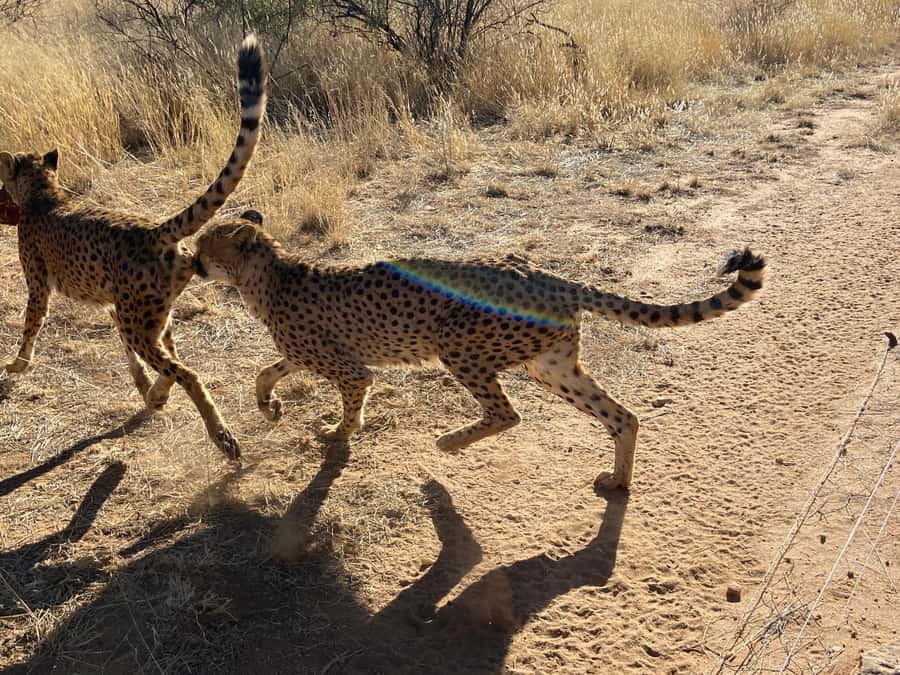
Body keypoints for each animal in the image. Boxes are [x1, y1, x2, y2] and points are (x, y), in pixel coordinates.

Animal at [0, 35, 267, 462]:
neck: (45, 193)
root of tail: (153, 230)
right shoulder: (114, 305)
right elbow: (129, 357)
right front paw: (146, 389)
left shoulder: (39, 286)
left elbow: (30, 327)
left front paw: (15, 366)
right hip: (151, 314)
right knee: (170, 357)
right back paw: (159, 394)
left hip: (140, 320)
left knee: (187, 373)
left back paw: (221, 435)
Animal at [193, 216, 765, 489]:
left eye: (203, 248)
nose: (191, 263)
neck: (267, 277)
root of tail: (547, 274)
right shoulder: (305, 354)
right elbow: (265, 371)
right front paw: (270, 406)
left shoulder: (350, 370)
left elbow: (350, 404)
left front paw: (336, 434)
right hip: (551, 365)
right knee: (623, 416)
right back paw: (618, 481)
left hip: (460, 345)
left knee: (507, 413)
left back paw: (449, 443)